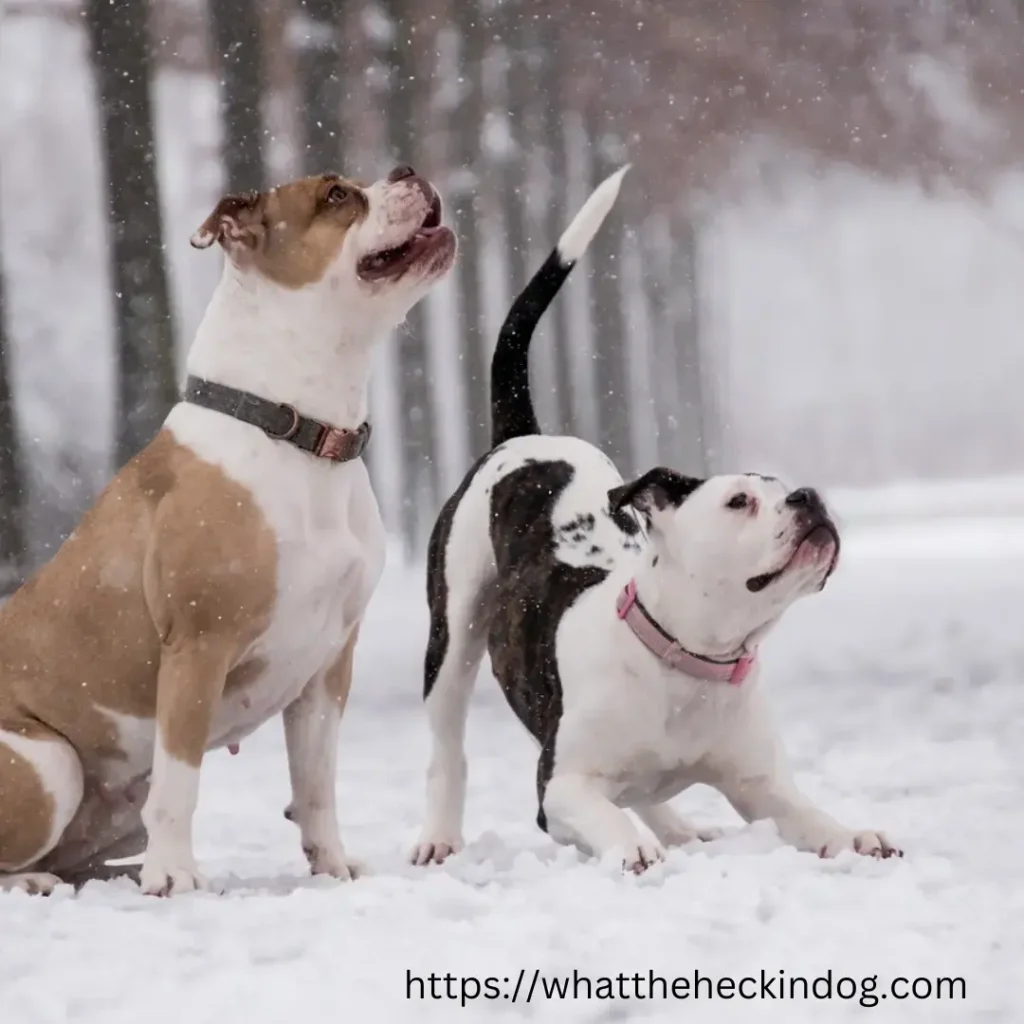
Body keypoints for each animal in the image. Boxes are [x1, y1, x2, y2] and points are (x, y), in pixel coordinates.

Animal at [0, 163, 456, 892]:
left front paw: (332, 865)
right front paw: (173, 878)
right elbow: (180, 782)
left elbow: (317, 781)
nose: (407, 170)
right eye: (335, 195)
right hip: (49, 765)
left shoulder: (328, 661)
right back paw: (49, 882)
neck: (298, 431)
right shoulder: (198, 647)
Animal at [411, 167, 901, 872]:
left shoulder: (762, 785)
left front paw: (854, 834)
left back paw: (676, 826)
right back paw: (441, 837)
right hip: (451, 637)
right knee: (448, 747)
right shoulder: (560, 786)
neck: (691, 660)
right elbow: (599, 811)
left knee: (641, 792)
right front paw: (631, 848)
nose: (809, 496)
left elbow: (810, 817)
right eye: (739, 501)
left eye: (786, 488)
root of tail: (524, 435)